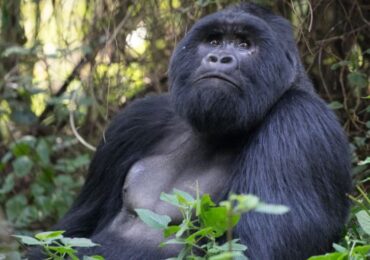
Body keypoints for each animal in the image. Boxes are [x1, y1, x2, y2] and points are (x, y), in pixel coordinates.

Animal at [29, 2, 352, 260]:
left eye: (244, 44)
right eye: (214, 40)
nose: (219, 58)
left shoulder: (300, 124)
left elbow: (256, 249)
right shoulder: (136, 120)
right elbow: (68, 232)